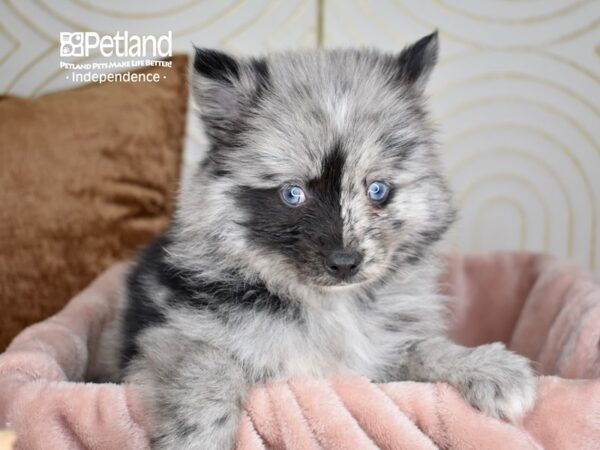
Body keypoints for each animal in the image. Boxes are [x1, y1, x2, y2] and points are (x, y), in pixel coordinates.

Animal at [99, 33, 540, 448]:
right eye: (293, 194)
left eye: (378, 190)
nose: (345, 262)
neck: (324, 305)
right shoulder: (169, 337)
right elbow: (208, 366)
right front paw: (197, 437)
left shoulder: (378, 359)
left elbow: (423, 347)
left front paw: (485, 365)